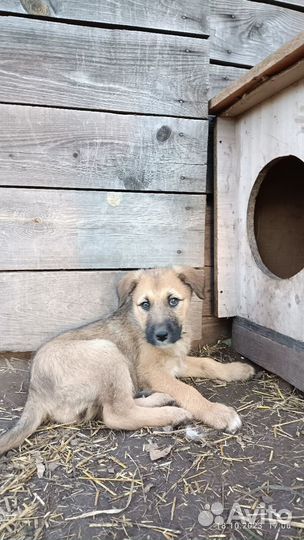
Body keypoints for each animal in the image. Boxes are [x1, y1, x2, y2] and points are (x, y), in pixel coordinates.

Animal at [0, 268, 254, 454]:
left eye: (173, 301)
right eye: (145, 304)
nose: (161, 335)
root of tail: (35, 390)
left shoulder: (176, 363)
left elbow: (208, 363)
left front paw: (237, 370)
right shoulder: (151, 372)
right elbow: (188, 390)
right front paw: (218, 413)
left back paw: (160, 398)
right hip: (107, 352)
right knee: (117, 413)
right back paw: (173, 414)